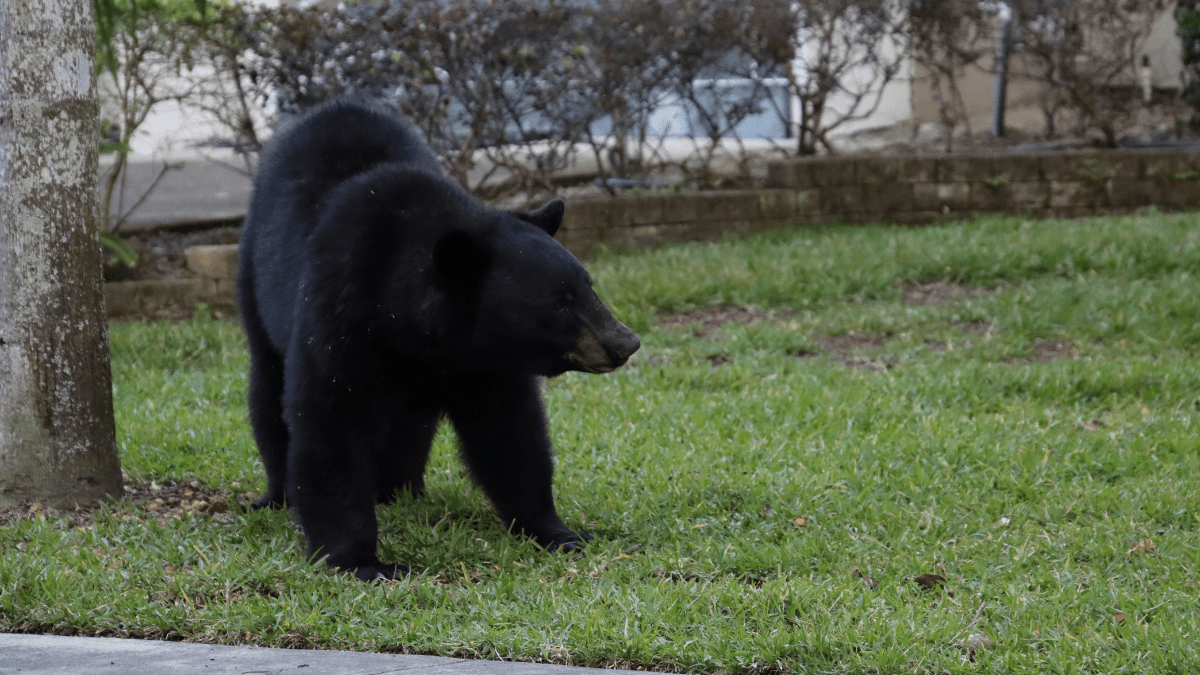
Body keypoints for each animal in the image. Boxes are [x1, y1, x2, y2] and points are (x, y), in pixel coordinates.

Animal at [237, 98, 643, 578]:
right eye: (559, 303)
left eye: (588, 286)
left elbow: (510, 432)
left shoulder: (483, 364)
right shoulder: (337, 311)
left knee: (409, 429)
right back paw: (276, 495)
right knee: (267, 392)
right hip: (254, 282)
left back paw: (399, 489)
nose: (625, 342)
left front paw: (558, 532)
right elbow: (329, 422)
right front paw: (361, 561)